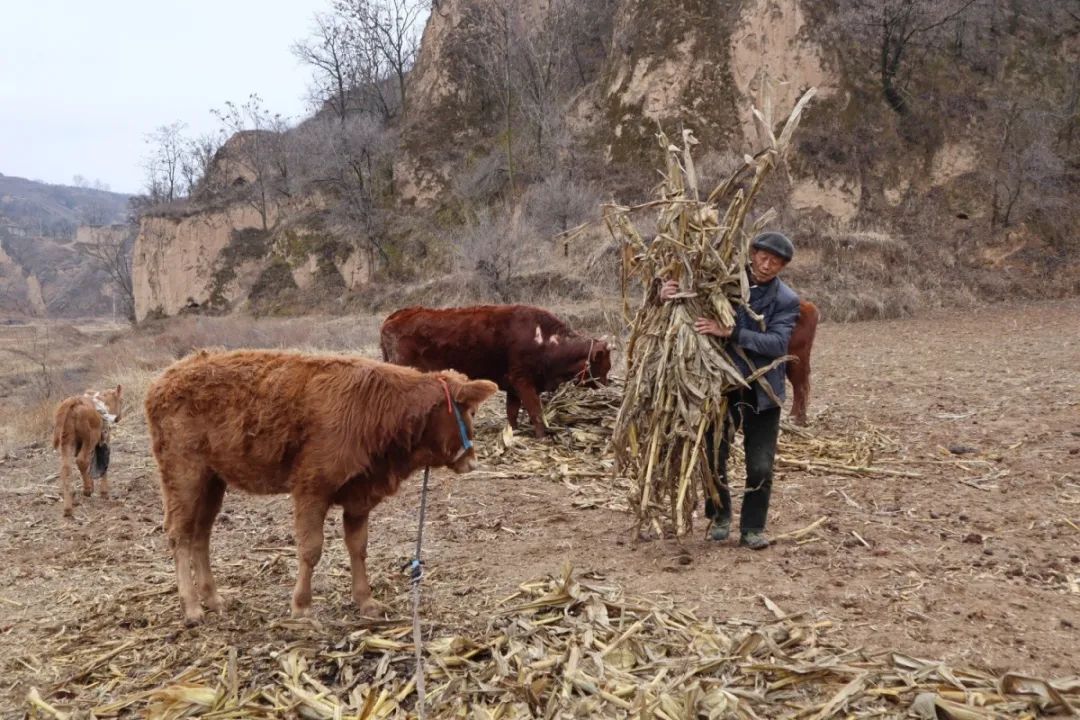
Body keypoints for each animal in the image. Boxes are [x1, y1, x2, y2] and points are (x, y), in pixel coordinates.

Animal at [53, 386, 123, 515]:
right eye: (121, 400)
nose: (118, 418)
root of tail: (75, 401)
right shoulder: (105, 439)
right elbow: (103, 464)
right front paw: (104, 492)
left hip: (67, 442)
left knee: (66, 468)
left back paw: (68, 508)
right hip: (90, 438)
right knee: (81, 460)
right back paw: (87, 490)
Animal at [144, 349, 496, 626]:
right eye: (471, 411)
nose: (473, 462)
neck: (375, 407)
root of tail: (163, 380)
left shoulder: (359, 494)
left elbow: (358, 547)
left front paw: (365, 600)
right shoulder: (311, 489)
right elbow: (311, 549)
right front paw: (301, 606)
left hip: (212, 481)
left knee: (201, 534)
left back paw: (213, 598)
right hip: (183, 476)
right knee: (180, 534)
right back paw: (191, 607)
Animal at [382, 304, 613, 440]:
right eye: (604, 365)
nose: (606, 385)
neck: (546, 341)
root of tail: (398, 314)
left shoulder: (513, 387)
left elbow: (512, 413)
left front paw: (513, 433)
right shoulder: (523, 381)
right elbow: (536, 411)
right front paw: (542, 437)